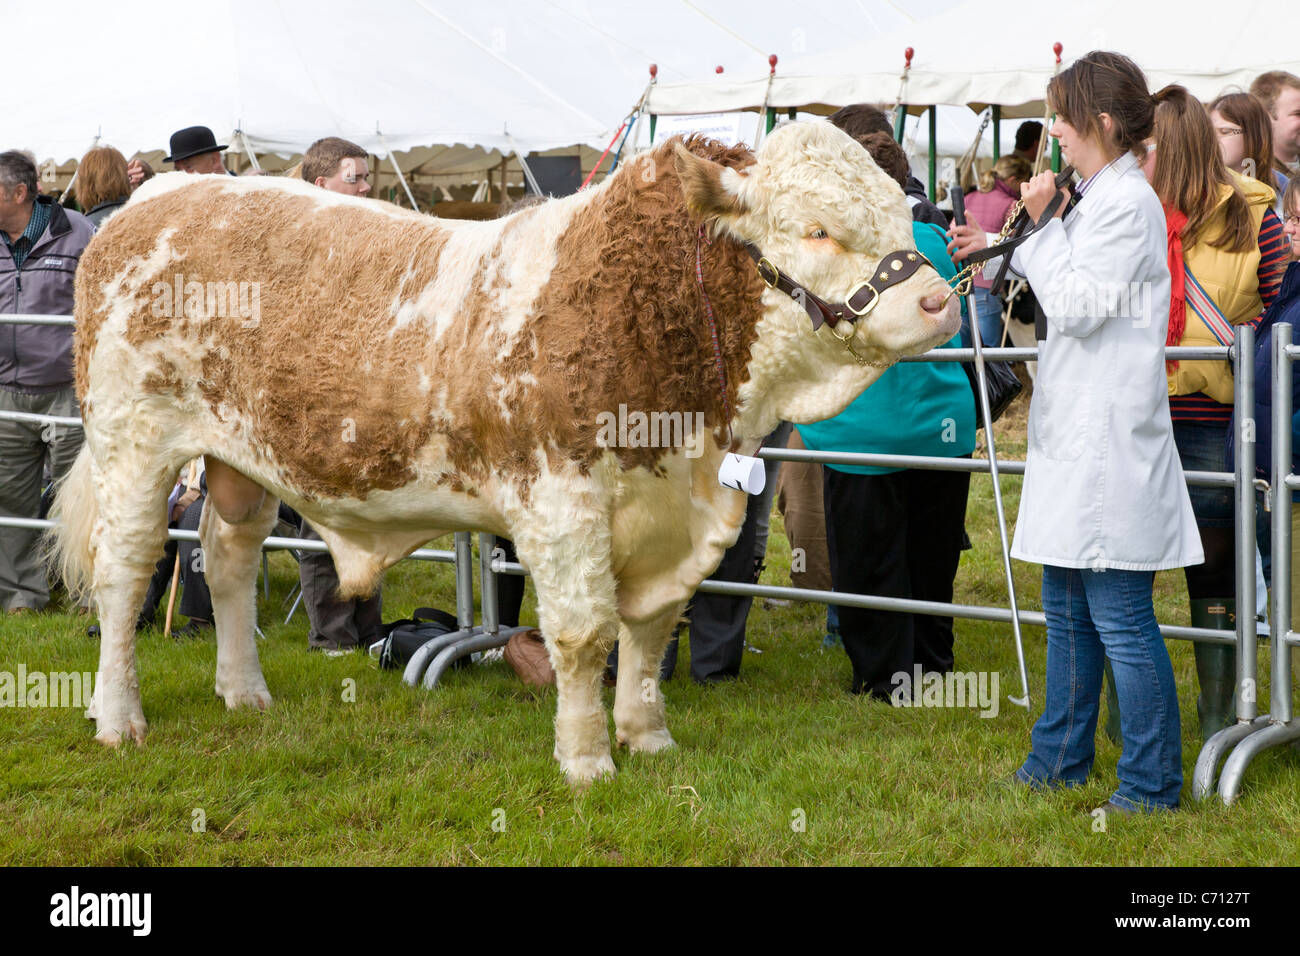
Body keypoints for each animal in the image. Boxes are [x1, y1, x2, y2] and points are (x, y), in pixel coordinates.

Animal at [50, 123, 961, 785]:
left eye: (898, 210)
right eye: (818, 230)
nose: (940, 301)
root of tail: (160, 195)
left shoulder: (673, 515)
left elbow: (650, 627)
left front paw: (648, 738)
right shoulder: (563, 502)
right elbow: (586, 634)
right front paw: (588, 761)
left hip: (237, 462)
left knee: (229, 555)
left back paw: (244, 693)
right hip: (134, 441)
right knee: (126, 573)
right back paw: (117, 716)